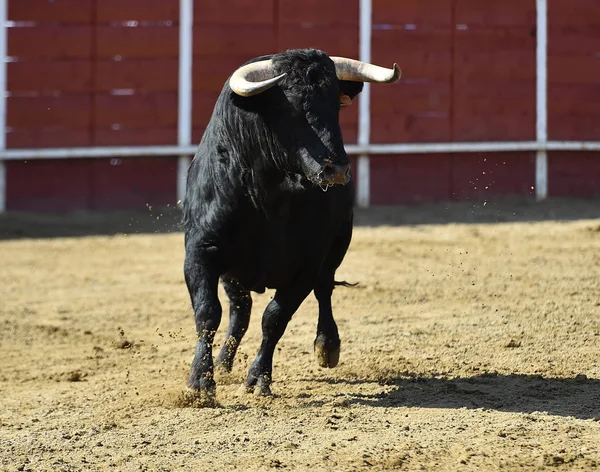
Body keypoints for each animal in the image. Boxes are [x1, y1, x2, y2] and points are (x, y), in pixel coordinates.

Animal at [180, 48, 400, 398]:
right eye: (290, 106)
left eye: (335, 104)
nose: (336, 169)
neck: (268, 194)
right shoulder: (201, 251)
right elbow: (207, 312)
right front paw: (201, 381)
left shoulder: (307, 264)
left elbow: (275, 318)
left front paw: (258, 378)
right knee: (240, 310)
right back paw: (224, 363)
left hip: (338, 244)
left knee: (324, 290)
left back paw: (327, 346)